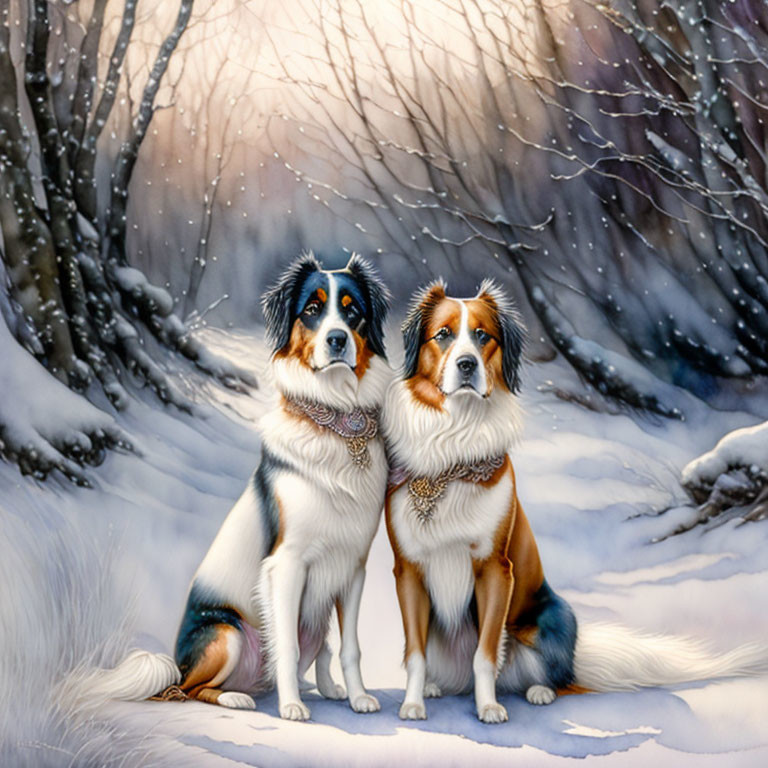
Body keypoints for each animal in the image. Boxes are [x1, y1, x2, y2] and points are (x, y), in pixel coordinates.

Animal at [73, 254, 390, 720]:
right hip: (228, 633)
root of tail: (177, 663)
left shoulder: (352, 569)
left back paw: (319, 688)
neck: (336, 420)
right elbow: (288, 648)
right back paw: (238, 697)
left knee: (318, 650)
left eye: (353, 312)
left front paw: (357, 697)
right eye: (312, 309)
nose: (337, 340)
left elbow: (348, 646)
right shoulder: (286, 565)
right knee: (190, 689)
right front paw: (292, 709)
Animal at [382, 280, 768, 724]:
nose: (466, 364)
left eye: (483, 337)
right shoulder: (409, 570)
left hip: (552, 618)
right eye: (443, 335)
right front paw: (413, 704)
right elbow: (414, 653)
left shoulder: (495, 569)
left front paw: (489, 707)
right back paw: (438, 687)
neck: (454, 456)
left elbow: (485, 654)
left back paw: (538, 692)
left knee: (559, 679)